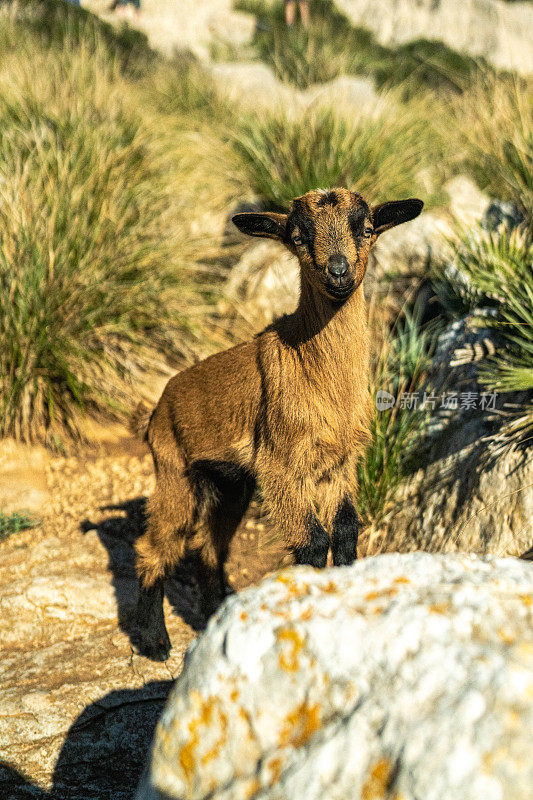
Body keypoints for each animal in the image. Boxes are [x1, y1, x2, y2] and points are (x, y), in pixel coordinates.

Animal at [133, 189, 420, 664]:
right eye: (298, 236)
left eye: (366, 228)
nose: (338, 271)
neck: (314, 370)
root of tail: (160, 403)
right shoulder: (280, 463)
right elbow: (312, 541)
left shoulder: (339, 461)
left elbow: (345, 532)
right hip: (174, 469)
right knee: (158, 545)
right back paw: (154, 640)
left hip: (231, 485)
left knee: (210, 547)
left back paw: (214, 612)